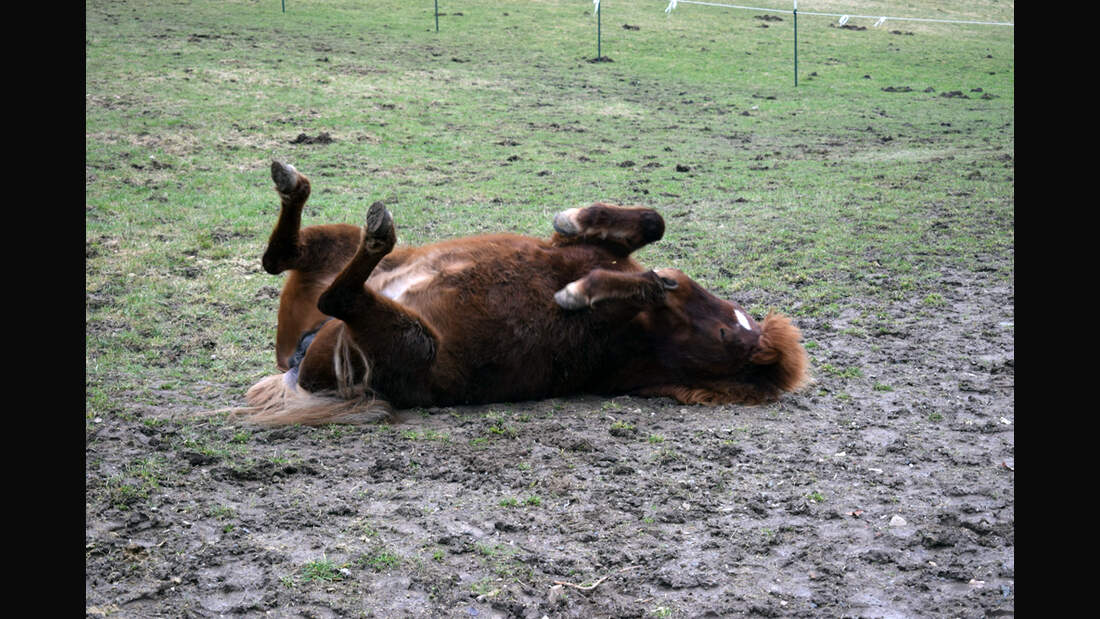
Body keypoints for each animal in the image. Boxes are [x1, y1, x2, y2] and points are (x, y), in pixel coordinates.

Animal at [232, 161, 805, 426]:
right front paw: (575, 217)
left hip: (409, 339)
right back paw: (294, 185)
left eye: (732, 333)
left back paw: (377, 233)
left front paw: (581, 293)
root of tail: (299, 363)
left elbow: (644, 281)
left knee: (338, 298)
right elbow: (650, 221)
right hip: (330, 249)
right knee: (280, 259)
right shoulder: (581, 250)